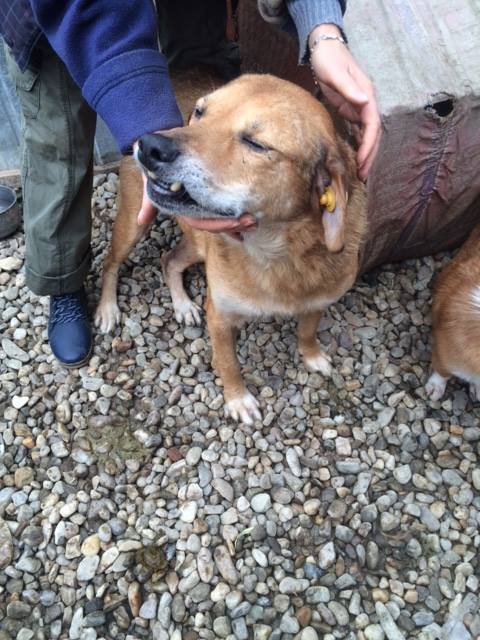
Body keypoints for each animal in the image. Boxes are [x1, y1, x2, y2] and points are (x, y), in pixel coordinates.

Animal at [96, 75, 368, 422]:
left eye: (256, 143)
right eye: (200, 112)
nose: (150, 145)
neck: (279, 256)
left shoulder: (318, 301)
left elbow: (307, 331)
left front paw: (312, 356)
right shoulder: (220, 316)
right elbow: (229, 364)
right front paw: (238, 400)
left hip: (197, 244)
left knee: (169, 259)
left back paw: (182, 304)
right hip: (135, 223)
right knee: (110, 263)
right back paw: (107, 309)